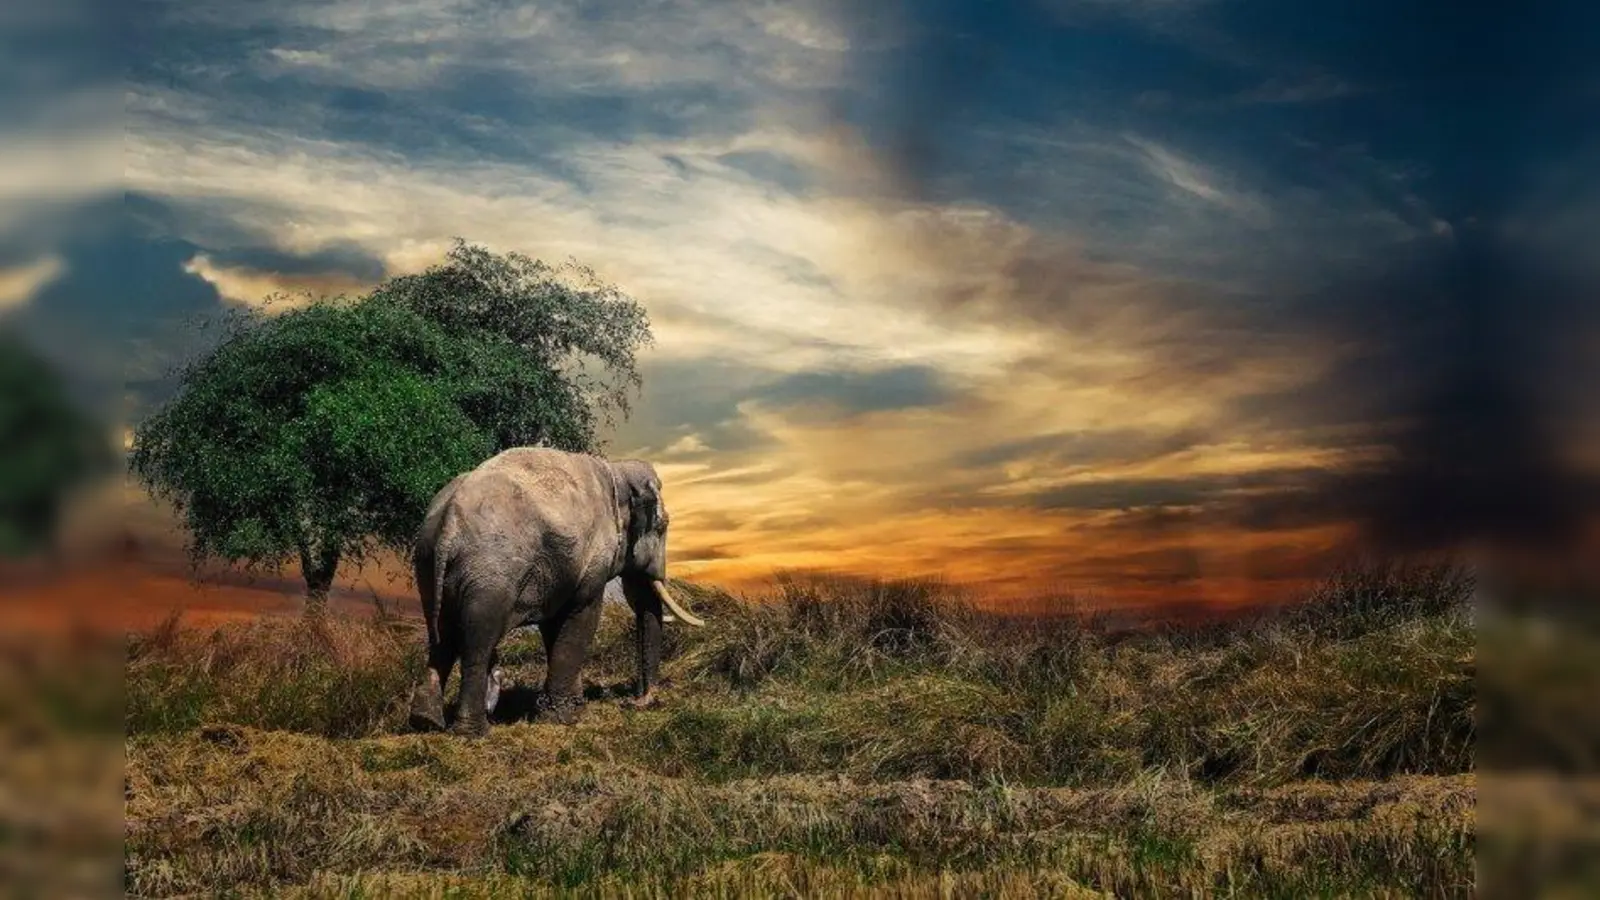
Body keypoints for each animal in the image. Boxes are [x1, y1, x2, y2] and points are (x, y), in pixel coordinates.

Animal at [406, 446, 707, 736]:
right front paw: (564, 718)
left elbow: (555, 626)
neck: (616, 470)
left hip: (427, 563)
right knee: (477, 641)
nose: (637, 701)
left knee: (441, 636)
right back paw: (473, 732)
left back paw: (426, 722)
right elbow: (583, 615)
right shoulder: (591, 560)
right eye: (663, 526)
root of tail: (449, 522)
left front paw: (568, 710)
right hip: (489, 572)